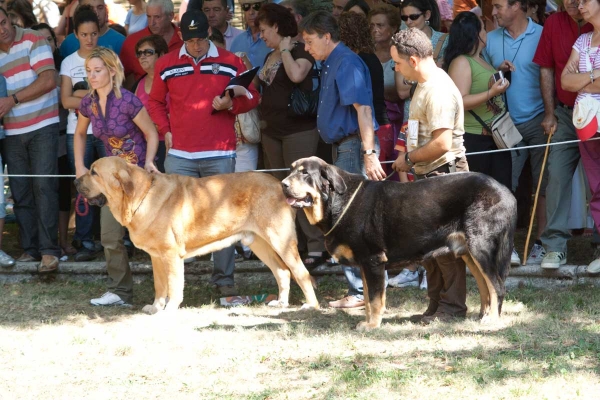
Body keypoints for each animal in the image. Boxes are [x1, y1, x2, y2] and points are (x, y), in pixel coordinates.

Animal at [74, 155, 318, 312]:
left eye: (94, 172)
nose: (75, 180)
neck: (141, 197)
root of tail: (281, 185)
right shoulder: (156, 257)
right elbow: (160, 285)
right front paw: (155, 308)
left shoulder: (171, 255)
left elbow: (174, 285)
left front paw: (169, 309)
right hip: (259, 243)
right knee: (283, 272)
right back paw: (281, 304)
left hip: (281, 241)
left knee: (301, 273)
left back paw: (311, 306)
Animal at [282, 158, 516, 330]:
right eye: (291, 170)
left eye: (305, 173)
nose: (283, 184)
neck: (339, 201)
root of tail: (506, 192)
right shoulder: (366, 265)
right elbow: (368, 299)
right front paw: (368, 321)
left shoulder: (373, 260)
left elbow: (375, 299)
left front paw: (372, 326)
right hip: (469, 252)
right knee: (485, 286)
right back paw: (483, 315)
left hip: (481, 248)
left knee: (497, 286)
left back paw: (492, 320)